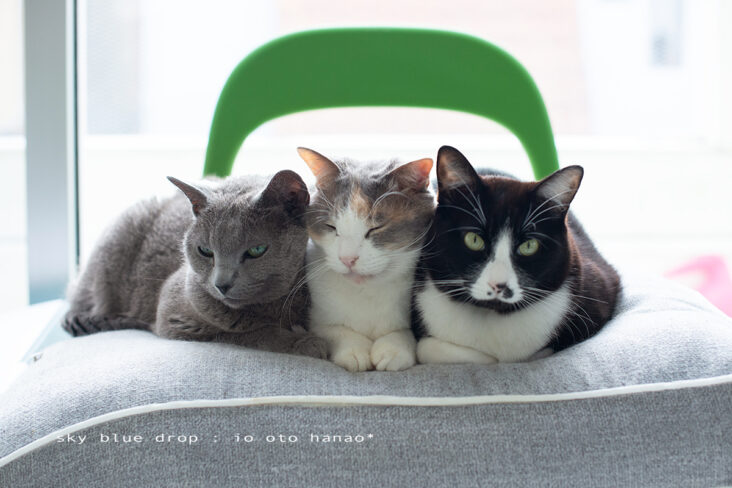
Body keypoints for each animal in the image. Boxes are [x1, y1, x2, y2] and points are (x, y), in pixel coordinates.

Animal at [63, 170, 327, 358]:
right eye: (205, 251)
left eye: (256, 251)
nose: (221, 284)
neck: (272, 308)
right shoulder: (175, 318)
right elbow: (253, 332)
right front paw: (306, 342)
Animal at [297, 147, 434, 372]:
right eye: (330, 226)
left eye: (376, 228)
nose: (347, 259)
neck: (365, 292)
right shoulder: (317, 316)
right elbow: (333, 329)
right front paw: (354, 350)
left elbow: (403, 333)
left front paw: (393, 348)